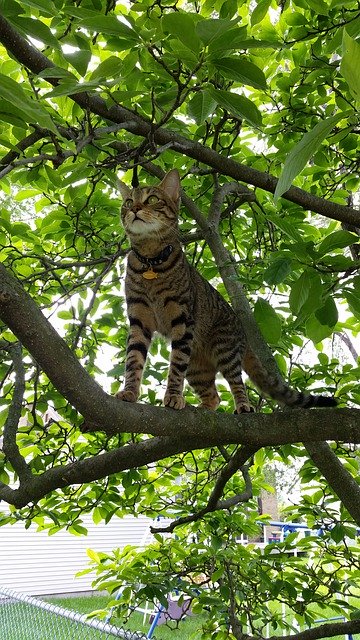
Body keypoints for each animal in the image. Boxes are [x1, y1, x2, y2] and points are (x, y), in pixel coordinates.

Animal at [116, 168, 338, 412]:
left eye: (153, 199)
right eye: (128, 202)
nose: (134, 209)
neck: (151, 262)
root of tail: (244, 335)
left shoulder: (183, 320)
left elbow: (175, 367)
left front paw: (173, 395)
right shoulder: (139, 320)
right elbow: (133, 360)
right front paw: (129, 392)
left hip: (225, 349)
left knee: (236, 382)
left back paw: (243, 405)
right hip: (197, 367)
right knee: (213, 397)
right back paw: (202, 408)